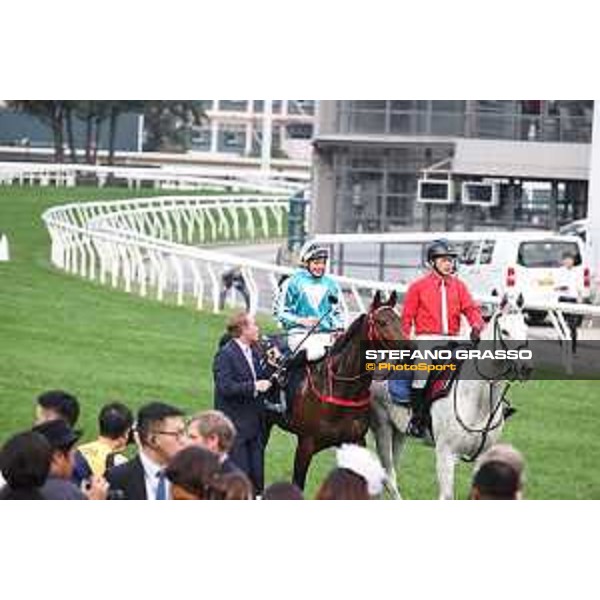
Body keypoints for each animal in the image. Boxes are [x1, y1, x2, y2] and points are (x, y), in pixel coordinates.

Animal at [264, 292, 408, 492]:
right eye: (382, 322)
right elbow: (298, 484)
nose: (410, 349)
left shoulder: (355, 442)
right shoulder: (305, 444)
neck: (341, 389)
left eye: (400, 320)